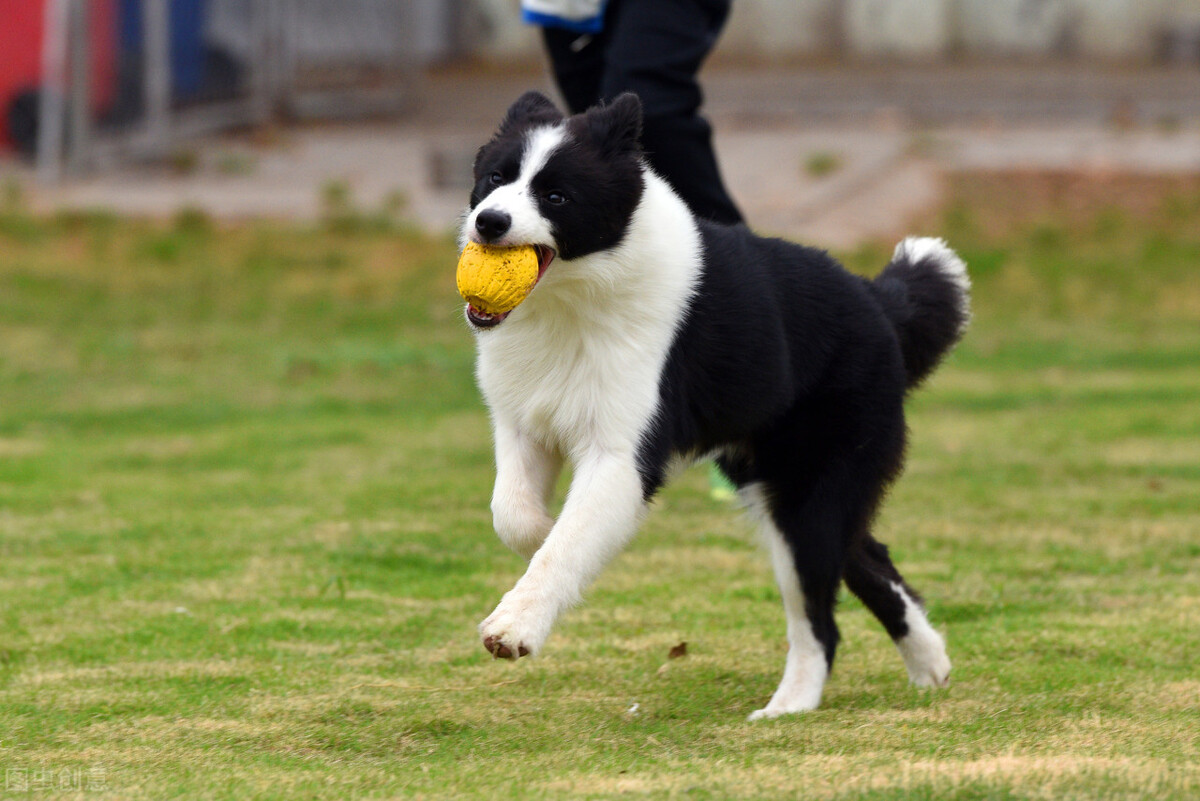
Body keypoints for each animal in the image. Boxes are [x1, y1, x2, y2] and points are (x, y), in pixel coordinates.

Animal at [458, 90, 964, 714]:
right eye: (495, 178)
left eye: (555, 195)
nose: (489, 221)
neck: (576, 298)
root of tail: (878, 303)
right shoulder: (523, 421)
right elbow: (514, 515)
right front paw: (540, 529)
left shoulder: (622, 456)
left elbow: (566, 544)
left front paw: (514, 628)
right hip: (787, 486)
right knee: (866, 556)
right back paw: (929, 662)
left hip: (810, 491)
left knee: (821, 620)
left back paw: (788, 708)